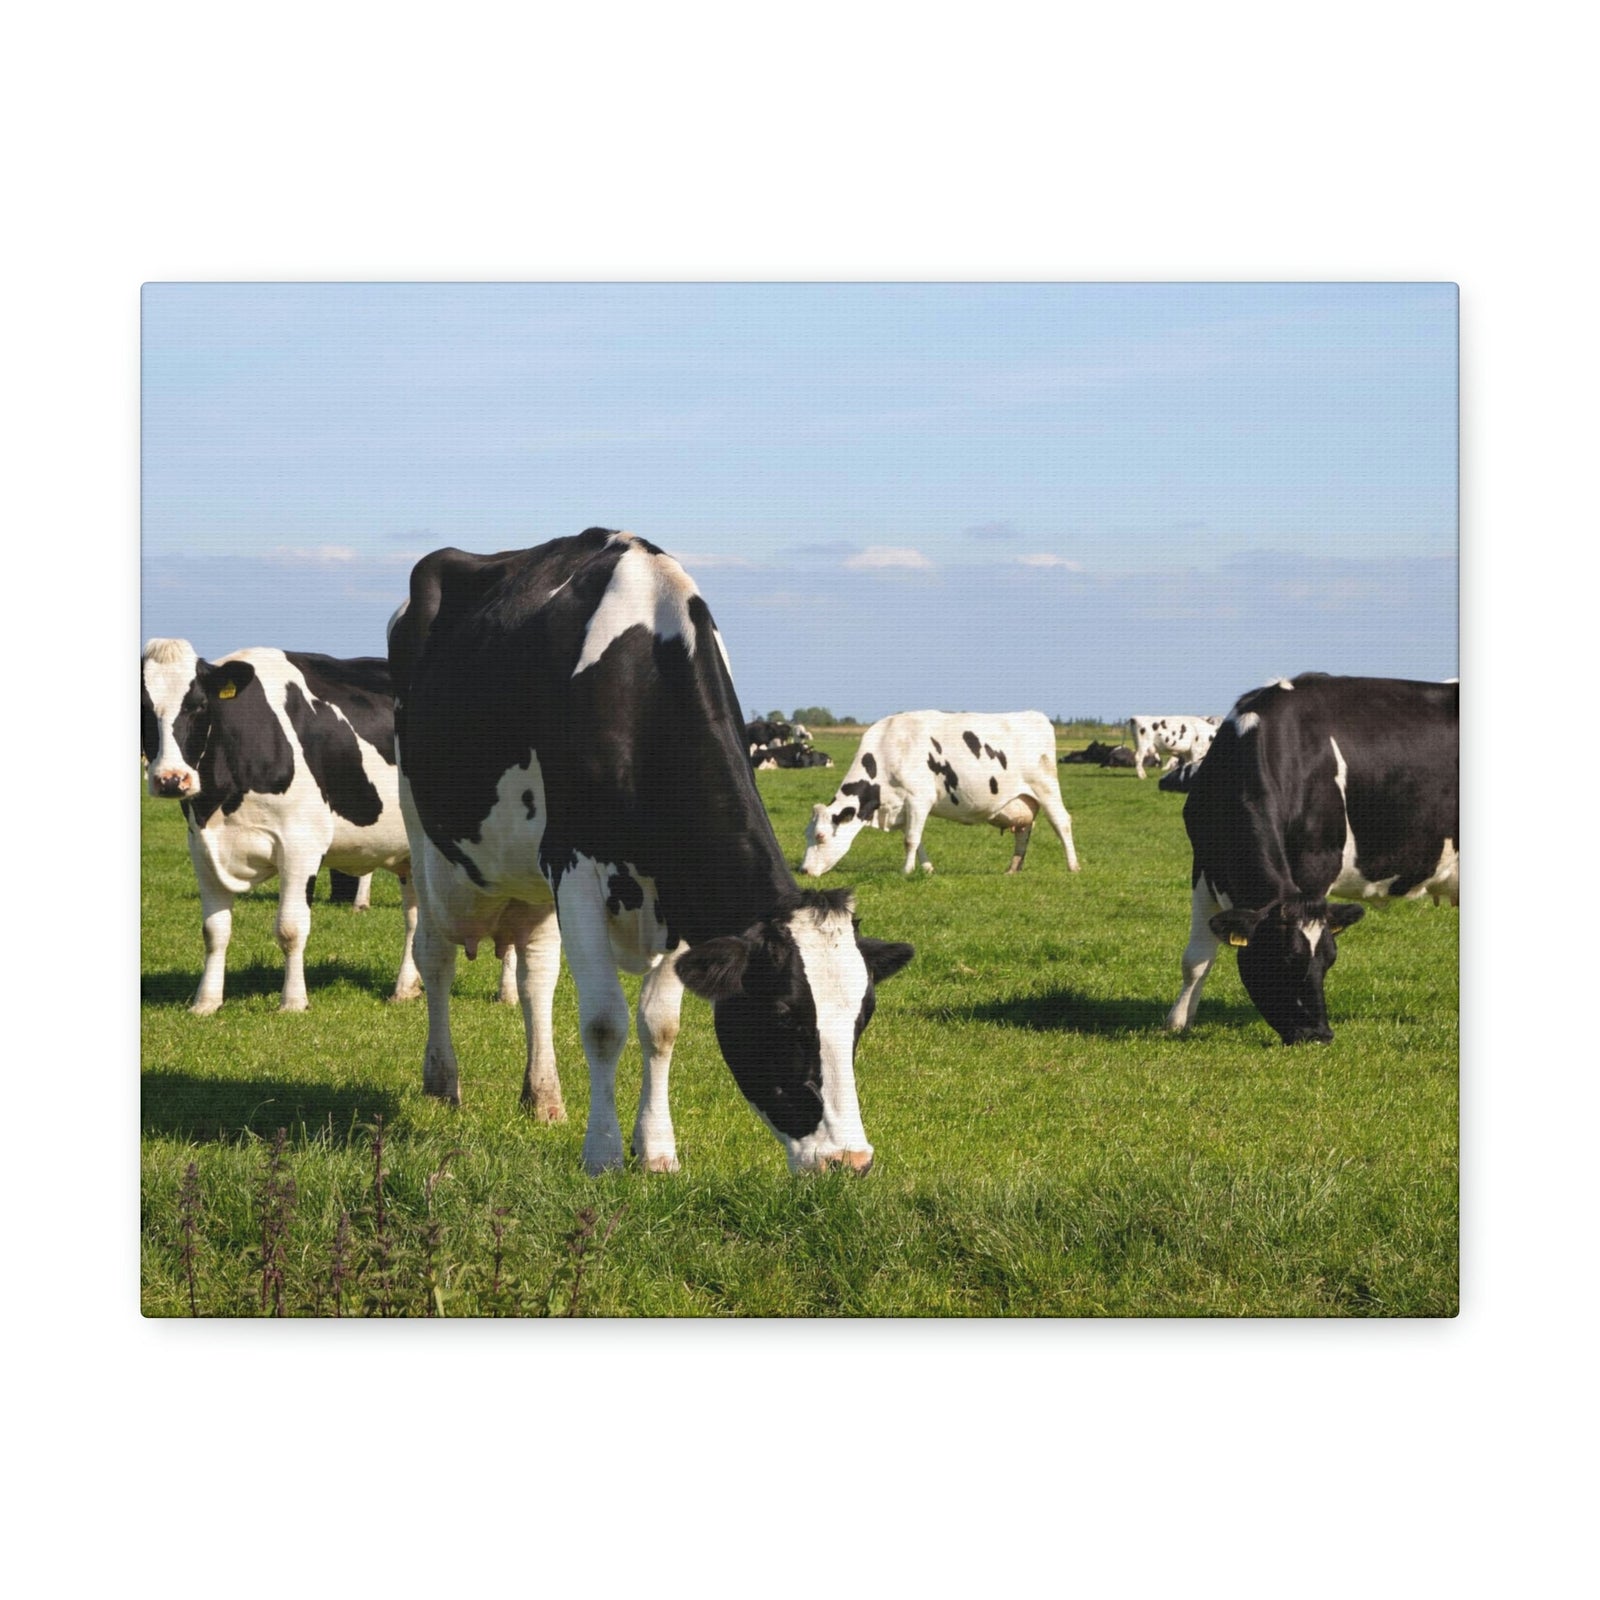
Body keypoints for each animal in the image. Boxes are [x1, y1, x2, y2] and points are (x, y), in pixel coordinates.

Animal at [140, 638, 422, 1013]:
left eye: (198, 706)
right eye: (143, 706)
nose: (171, 779)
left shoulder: (301, 844)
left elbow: (291, 928)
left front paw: (293, 1002)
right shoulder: (202, 848)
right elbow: (214, 931)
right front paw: (206, 1003)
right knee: (415, 916)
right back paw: (406, 988)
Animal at [388, 528, 915, 1176]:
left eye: (863, 1018)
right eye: (783, 1017)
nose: (851, 1160)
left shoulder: (682, 891)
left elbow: (659, 1026)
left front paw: (657, 1150)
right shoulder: (574, 866)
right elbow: (603, 1022)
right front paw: (604, 1154)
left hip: (531, 881)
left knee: (536, 976)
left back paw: (543, 1096)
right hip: (425, 836)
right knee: (434, 953)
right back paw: (442, 1080)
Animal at [801, 711, 1081, 877]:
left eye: (821, 836)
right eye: (807, 834)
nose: (804, 870)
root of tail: (1035, 715)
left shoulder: (918, 798)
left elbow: (910, 840)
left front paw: (906, 871)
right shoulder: (904, 806)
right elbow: (917, 840)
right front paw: (926, 868)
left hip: (1046, 787)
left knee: (1062, 823)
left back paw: (1073, 866)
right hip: (1024, 799)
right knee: (1024, 830)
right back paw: (1012, 869)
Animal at [1165, 674, 1458, 1044]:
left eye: (1329, 960)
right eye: (1283, 959)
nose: (1319, 1034)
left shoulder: (1317, 865)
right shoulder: (1204, 863)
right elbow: (1197, 958)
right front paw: (1178, 1022)